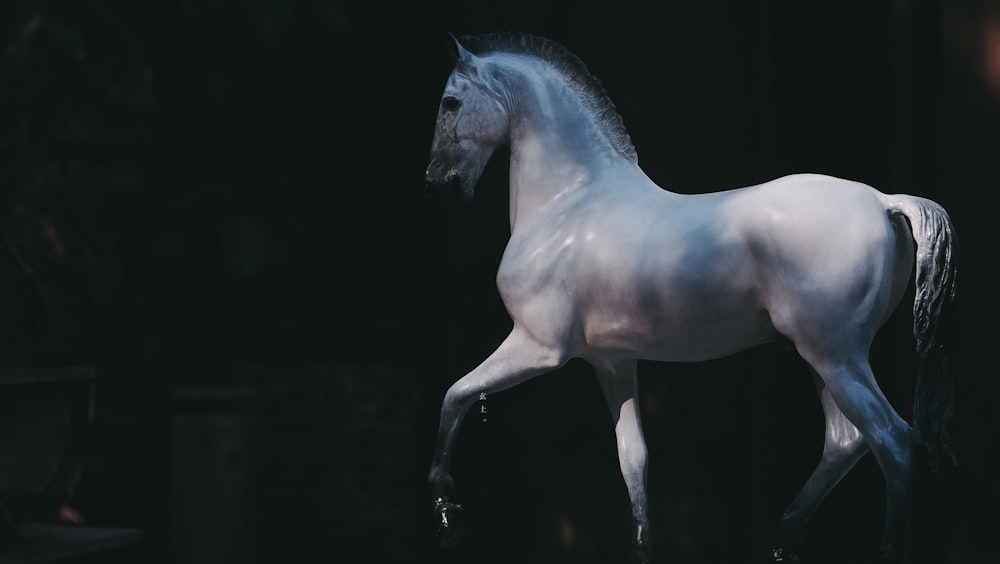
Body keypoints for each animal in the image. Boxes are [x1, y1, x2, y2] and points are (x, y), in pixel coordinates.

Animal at [420, 33, 952, 560]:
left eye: (450, 102)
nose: (436, 180)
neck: (569, 202)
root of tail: (883, 202)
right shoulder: (613, 364)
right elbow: (633, 459)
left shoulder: (537, 348)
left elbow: (456, 394)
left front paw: (445, 510)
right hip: (820, 358)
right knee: (845, 442)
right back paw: (784, 538)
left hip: (836, 357)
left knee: (892, 441)